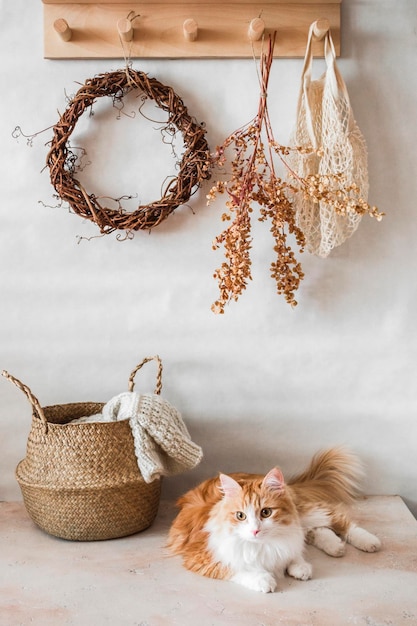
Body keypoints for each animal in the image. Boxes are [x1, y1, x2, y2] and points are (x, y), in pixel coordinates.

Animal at [167, 446, 378, 592]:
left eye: (266, 512)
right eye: (240, 516)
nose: (255, 530)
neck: (263, 544)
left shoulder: (289, 535)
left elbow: (294, 551)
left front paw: (299, 566)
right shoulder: (202, 556)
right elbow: (236, 569)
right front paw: (264, 579)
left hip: (303, 512)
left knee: (338, 520)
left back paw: (368, 542)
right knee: (318, 530)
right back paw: (335, 546)